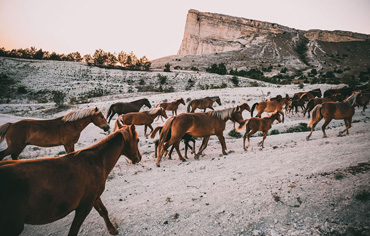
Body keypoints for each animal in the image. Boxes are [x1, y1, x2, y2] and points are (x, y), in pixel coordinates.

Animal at [0, 124, 142, 235]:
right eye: (138, 140)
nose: (139, 158)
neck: (97, 160)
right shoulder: (83, 207)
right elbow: (74, 230)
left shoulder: (93, 198)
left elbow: (103, 211)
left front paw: (112, 230)